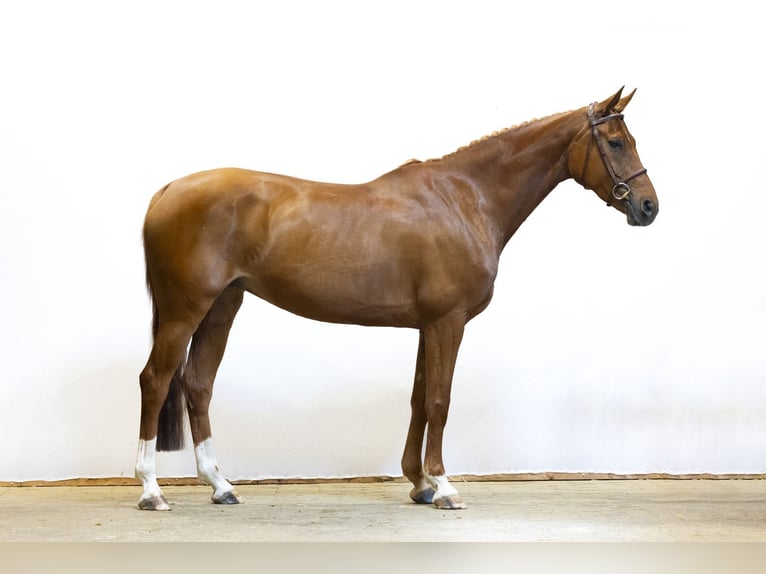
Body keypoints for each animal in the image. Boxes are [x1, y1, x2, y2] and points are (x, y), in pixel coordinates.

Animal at [135, 87, 658, 511]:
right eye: (616, 142)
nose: (649, 206)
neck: (464, 199)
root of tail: (167, 191)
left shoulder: (429, 325)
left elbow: (419, 399)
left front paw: (419, 483)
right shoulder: (448, 321)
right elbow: (440, 400)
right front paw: (444, 487)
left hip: (223, 306)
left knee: (198, 384)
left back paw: (220, 486)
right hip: (185, 311)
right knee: (156, 380)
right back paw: (152, 491)